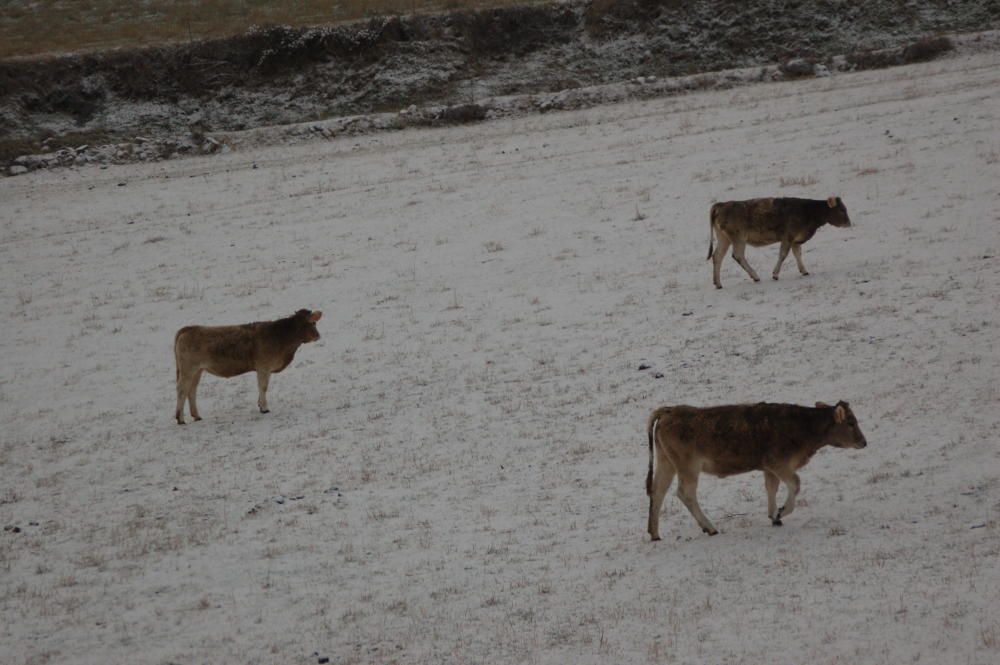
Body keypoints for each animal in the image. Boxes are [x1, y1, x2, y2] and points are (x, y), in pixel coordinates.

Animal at [174, 308, 322, 422]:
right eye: (312, 322)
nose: (318, 335)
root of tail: (189, 328)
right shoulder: (264, 367)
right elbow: (263, 386)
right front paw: (264, 408)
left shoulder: (263, 369)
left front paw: (260, 405)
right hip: (188, 369)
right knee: (182, 390)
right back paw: (180, 419)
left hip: (198, 370)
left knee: (192, 390)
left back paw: (196, 416)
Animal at [648, 400, 868, 540]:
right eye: (851, 422)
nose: (864, 442)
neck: (802, 427)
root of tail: (669, 411)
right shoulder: (779, 463)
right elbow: (795, 484)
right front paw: (781, 512)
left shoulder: (769, 468)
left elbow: (772, 487)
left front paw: (774, 516)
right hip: (688, 467)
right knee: (685, 493)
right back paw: (710, 528)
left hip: (666, 462)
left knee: (657, 490)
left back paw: (655, 533)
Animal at [708, 197, 856, 290]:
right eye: (841, 210)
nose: (849, 223)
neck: (808, 211)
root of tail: (720, 205)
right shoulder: (788, 238)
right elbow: (783, 255)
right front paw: (775, 275)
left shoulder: (796, 239)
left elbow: (797, 254)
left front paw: (804, 271)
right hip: (738, 239)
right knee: (737, 255)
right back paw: (755, 276)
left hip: (724, 239)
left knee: (717, 256)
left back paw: (718, 283)